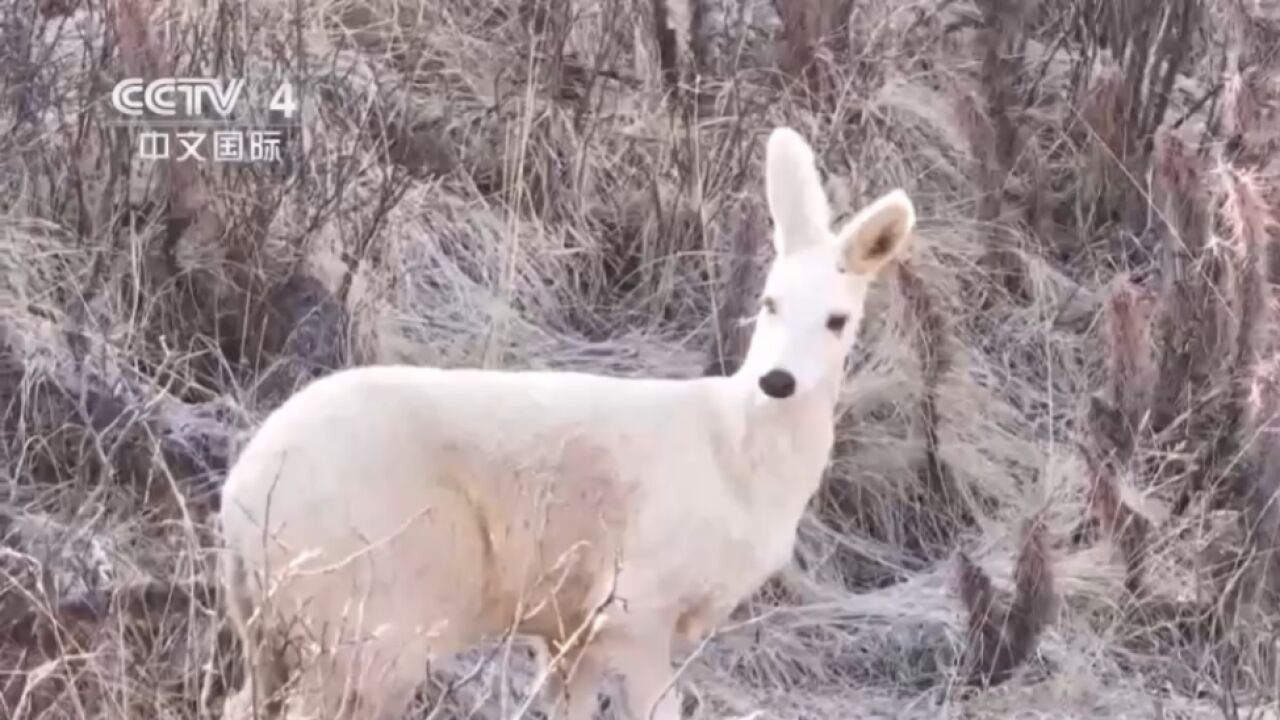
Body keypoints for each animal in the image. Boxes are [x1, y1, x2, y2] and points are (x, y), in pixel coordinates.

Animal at [222, 126, 921, 712]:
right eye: (769, 302)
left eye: (838, 321)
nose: (777, 381)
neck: (737, 457)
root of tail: (238, 501)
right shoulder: (637, 599)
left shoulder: (571, 625)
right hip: (368, 613)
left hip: (275, 628)